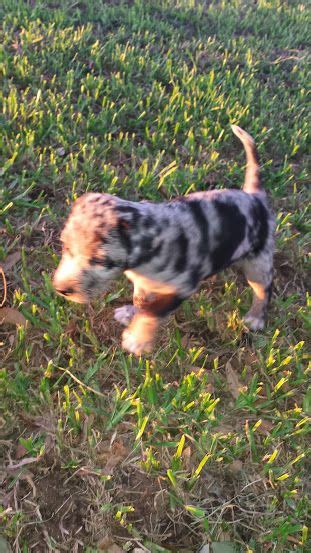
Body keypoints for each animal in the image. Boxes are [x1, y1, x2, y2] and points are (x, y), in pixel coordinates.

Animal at [53, 125, 276, 354]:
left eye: (98, 260)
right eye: (65, 247)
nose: (61, 289)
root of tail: (254, 197)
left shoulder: (182, 286)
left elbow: (152, 311)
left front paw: (137, 338)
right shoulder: (142, 283)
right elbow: (141, 302)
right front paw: (130, 313)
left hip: (259, 262)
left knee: (264, 288)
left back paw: (255, 318)